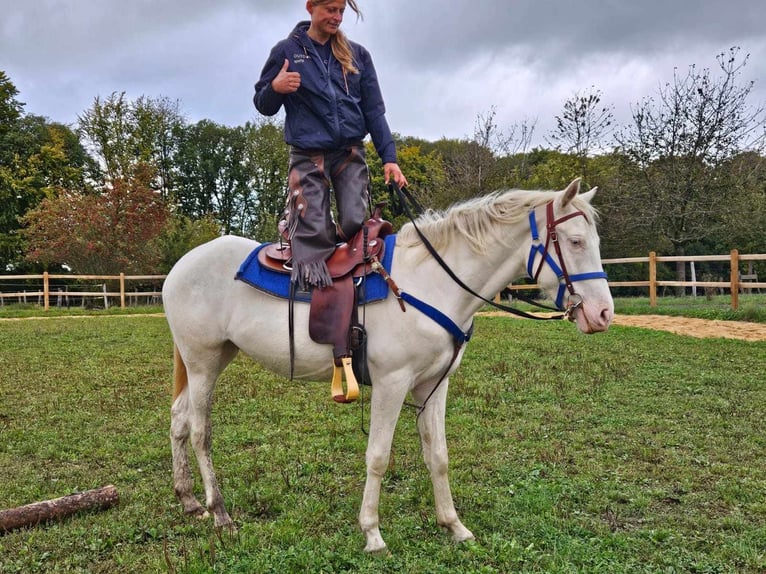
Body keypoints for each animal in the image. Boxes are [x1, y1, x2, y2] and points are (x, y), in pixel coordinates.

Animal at [165, 179, 616, 552]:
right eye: (575, 242)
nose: (603, 314)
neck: (434, 282)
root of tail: (180, 266)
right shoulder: (391, 384)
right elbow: (378, 456)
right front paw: (372, 533)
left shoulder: (434, 385)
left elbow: (438, 455)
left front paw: (454, 526)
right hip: (204, 362)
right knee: (201, 430)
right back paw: (220, 512)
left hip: (213, 357)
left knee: (179, 419)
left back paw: (188, 500)